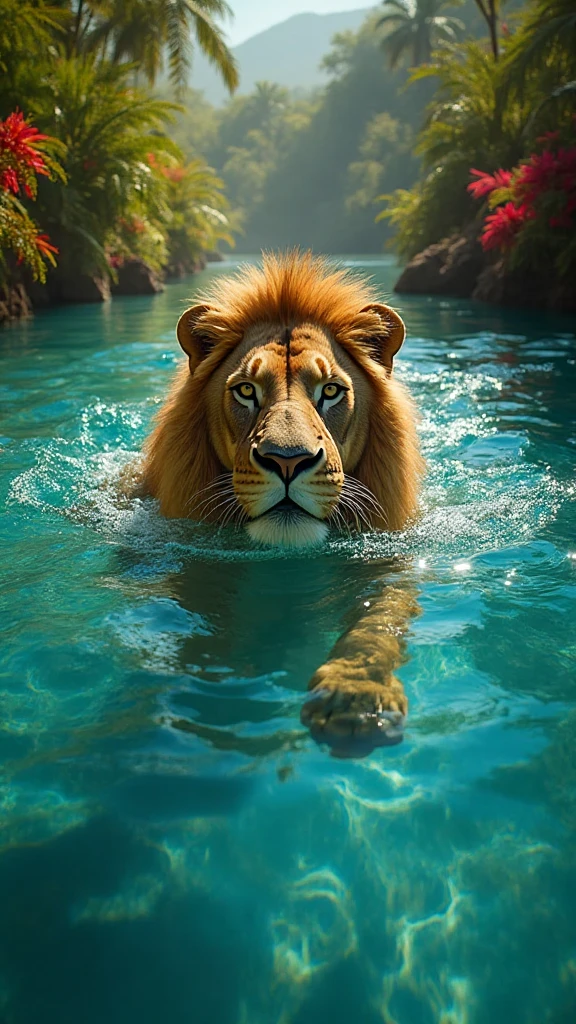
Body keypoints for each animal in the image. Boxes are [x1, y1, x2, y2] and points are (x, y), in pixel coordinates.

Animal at [140, 252, 424, 755]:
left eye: (330, 391)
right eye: (246, 391)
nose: (287, 460)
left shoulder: (391, 559)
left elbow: (379, 622)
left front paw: (355, 698)